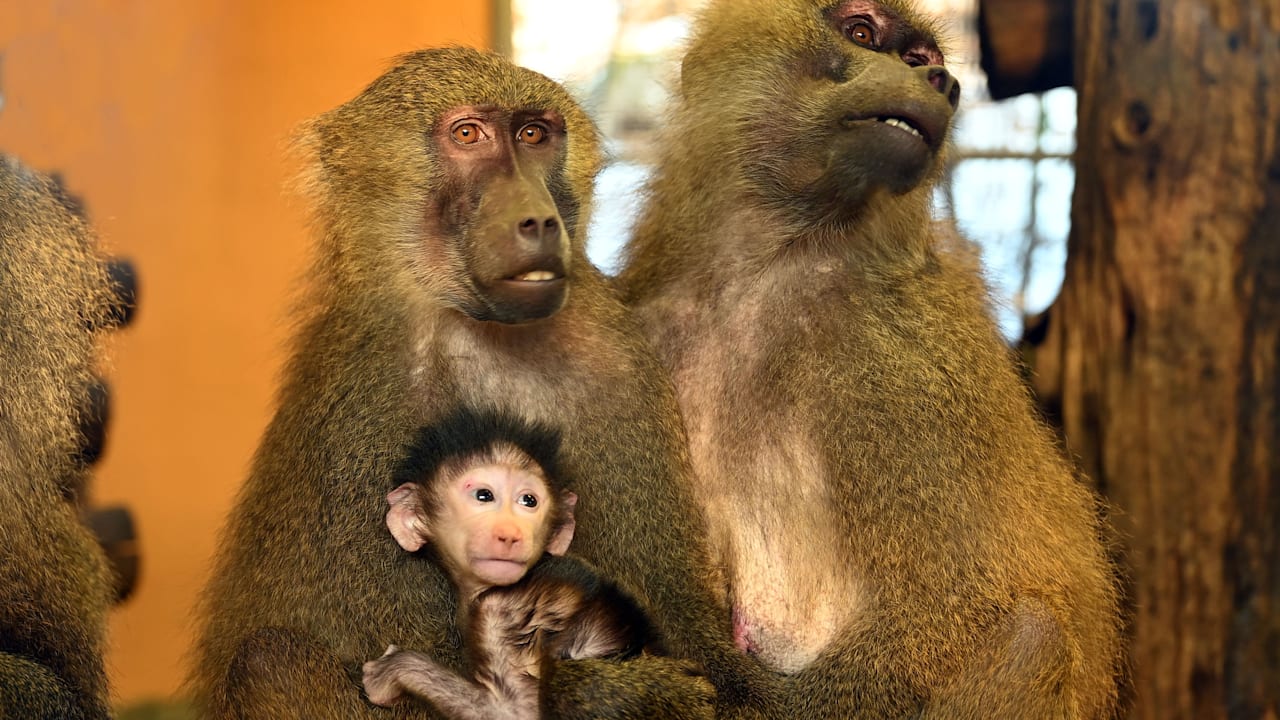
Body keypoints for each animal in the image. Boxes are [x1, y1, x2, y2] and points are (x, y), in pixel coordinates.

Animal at [360, 407, 665, 719]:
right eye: (483, 496)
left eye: (529, 501)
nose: (510, 534)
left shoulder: (502, 614)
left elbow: (513, 710)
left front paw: (397, 668)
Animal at [615, 0, 1125, 717]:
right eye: (862, 32)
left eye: (923, 61)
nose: (943, 82)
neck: (767, 273)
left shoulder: (900, 364)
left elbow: (960, 606)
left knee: (1034, 636)